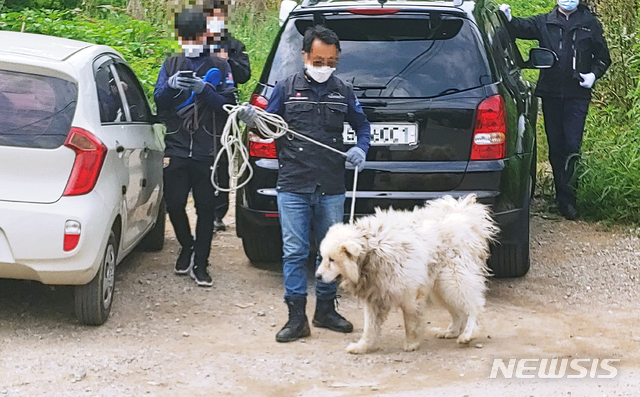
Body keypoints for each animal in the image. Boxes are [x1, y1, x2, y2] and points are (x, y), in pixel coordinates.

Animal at [318, 195, 498, 352]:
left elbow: (410, 322)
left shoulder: (410, 294)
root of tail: (465, 218)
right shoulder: (374, 295)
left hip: (453, 279)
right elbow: (370, 328)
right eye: (323, 257)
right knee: (457, 311)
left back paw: (468, 333)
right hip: (440, 287)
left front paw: (411, 344)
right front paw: (362, 347)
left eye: (332, 259)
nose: (317, 276)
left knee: (473, 307)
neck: (370, 249)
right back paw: (452, 331)